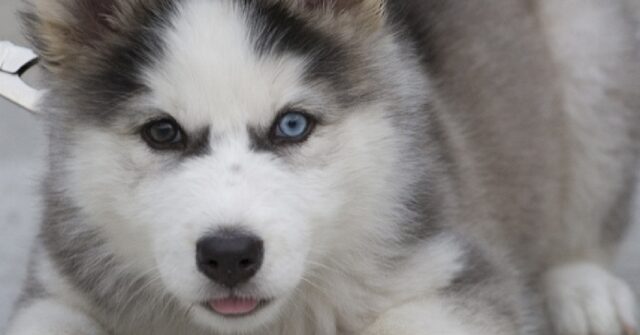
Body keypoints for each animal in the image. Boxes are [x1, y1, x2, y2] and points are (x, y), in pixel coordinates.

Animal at [6, 0, 640, 334]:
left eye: (292, 125)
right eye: (163, 133)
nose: (229, 255)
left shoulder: (455, 268)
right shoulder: (58, 290)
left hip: (589, 50)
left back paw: (585, 292)